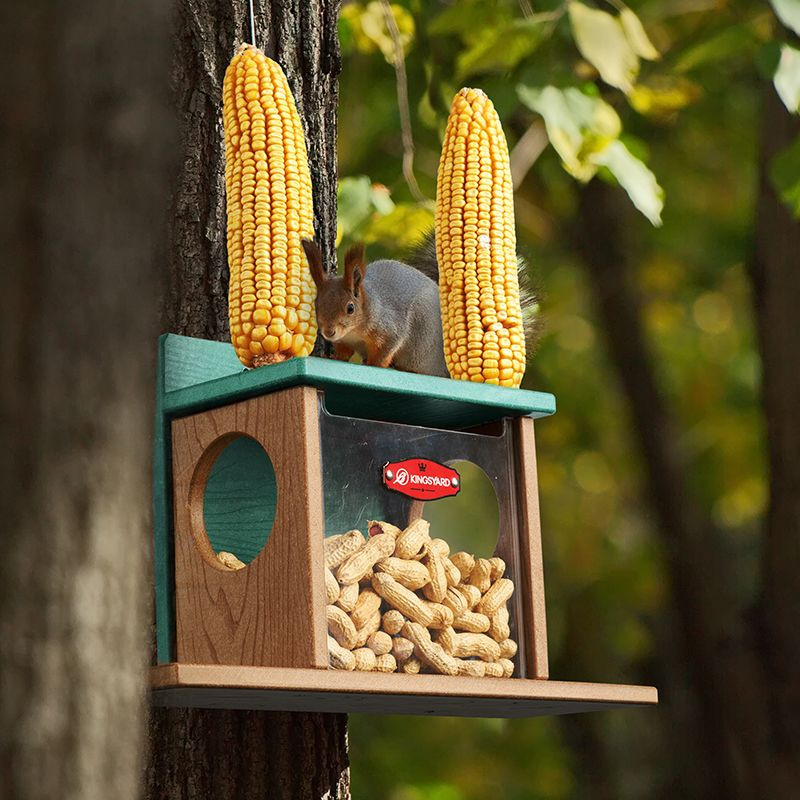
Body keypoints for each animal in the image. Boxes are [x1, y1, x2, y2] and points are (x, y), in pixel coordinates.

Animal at [301, 236, 540, 378]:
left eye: (350, 308)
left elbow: (387, 349)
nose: (329, 332)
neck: (355, 330)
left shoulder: (390, 327)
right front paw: (333, 357)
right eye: (316, 304)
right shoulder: (345, 341)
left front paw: (374, 364)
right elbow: (344, 353)